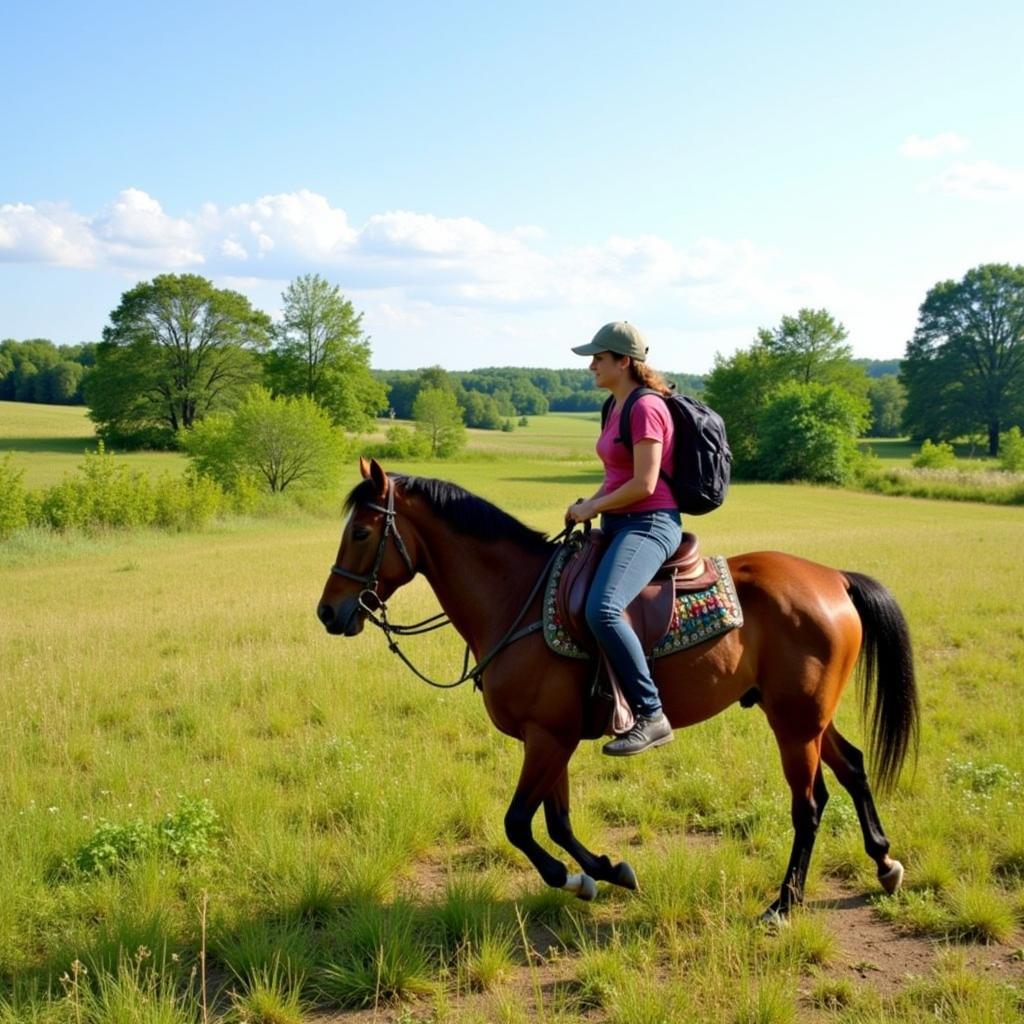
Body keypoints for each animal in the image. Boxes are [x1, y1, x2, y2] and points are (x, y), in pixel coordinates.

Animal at [315, 460, 917, 925]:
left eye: (362, 533)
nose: (328, 612)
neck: (517, 600)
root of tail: (834, 578)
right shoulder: (549, 737)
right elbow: (555, 821)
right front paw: (602, 872)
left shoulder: (547, 737)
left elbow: (519, 823)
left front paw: (572, 876)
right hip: (805, 716)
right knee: (854, 767)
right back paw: (884, 864)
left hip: (794, 724)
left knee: (809, 806)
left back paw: (784, 903)